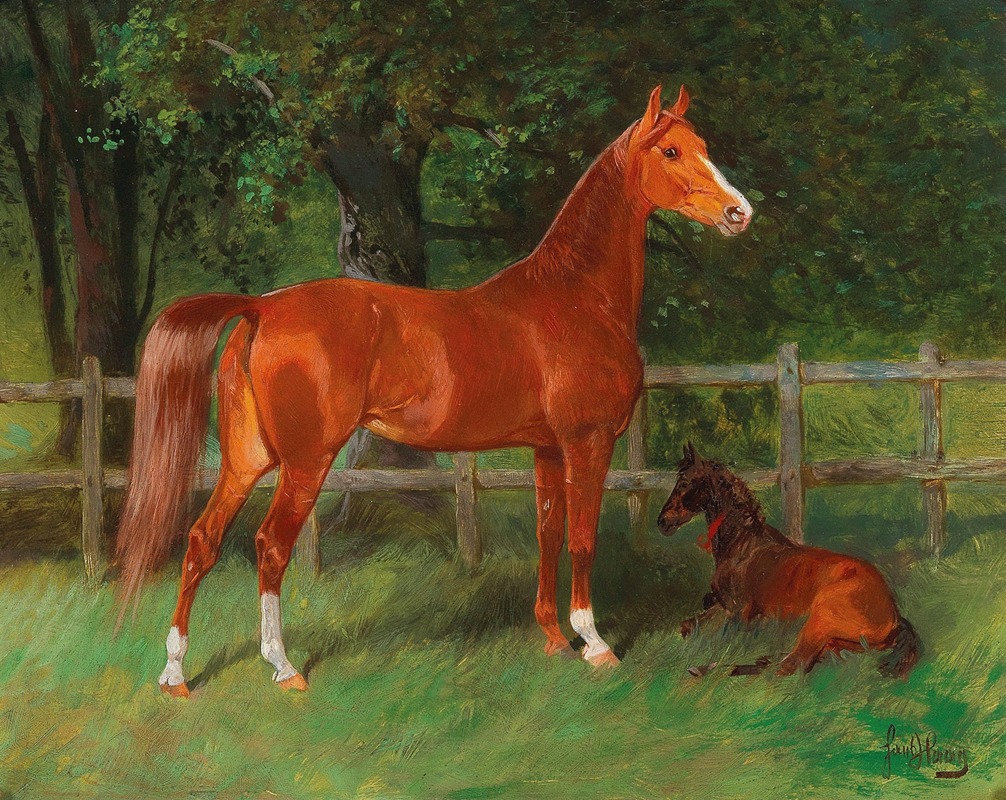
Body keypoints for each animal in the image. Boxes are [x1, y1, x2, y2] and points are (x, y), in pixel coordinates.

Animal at [116, 85, 753, 696]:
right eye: (671, 151)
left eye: (702, 145)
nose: (739, 212)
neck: (574, 295)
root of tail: (262, 307)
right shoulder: (587, 442)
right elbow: (582, 539)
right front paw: (594, 644)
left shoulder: (547, 449)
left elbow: (548, 533)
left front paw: (552, 638)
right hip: (304, 462)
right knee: (271, 547)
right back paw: (283, 667)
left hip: (247, 459)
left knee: (202, 540)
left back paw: (175, 676)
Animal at [657, 443, 921, 678]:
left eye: (684, 483)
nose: (662, 522)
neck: (743, 544)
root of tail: (895, 616)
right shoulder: (723, 607)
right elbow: (687, 626)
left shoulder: (738, 614)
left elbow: (721, 640)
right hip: (836, 642)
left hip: (819, 621)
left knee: (789, 667)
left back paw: (709, 670)